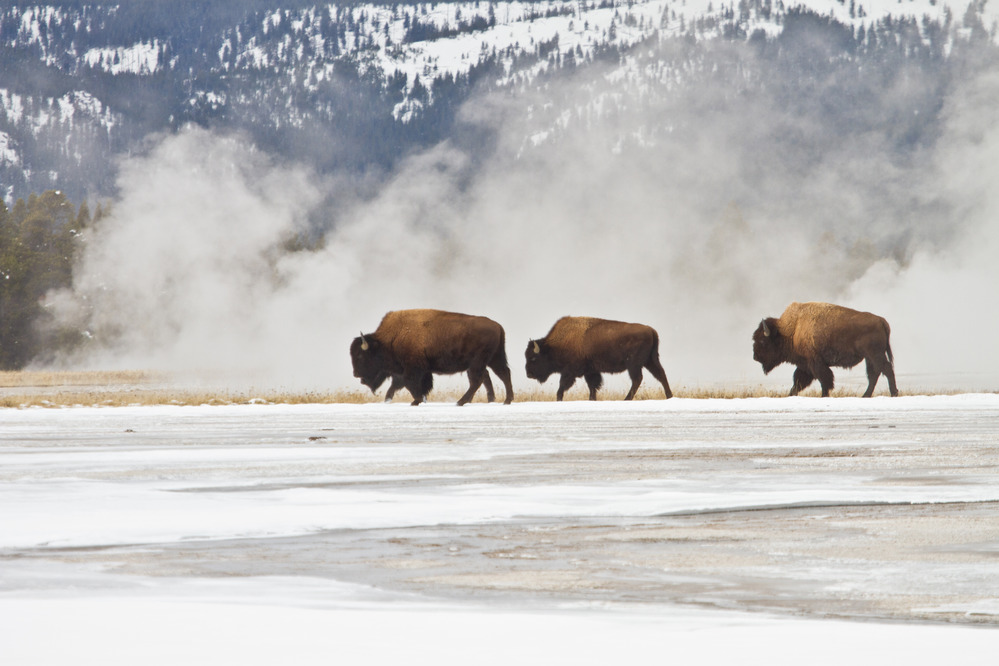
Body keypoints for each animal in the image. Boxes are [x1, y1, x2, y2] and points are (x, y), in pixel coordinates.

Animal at [350, 309, 514, 406]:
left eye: (360, 356)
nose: (356, 374)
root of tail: (498, 326)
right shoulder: (418, 371)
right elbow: (407, 385)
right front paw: (418, 400)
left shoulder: (412, 369)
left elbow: (409, 383)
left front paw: (416, 401)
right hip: (493, 359)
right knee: (502, 374)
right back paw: (506, 400)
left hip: (477, 362)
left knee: (478, 380)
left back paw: (460, 402)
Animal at [525, 316, 673, 401]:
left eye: (533, 358)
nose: (528, 374)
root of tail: (651, 331)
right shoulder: (590, 371)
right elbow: (593, 387)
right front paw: (592, 399)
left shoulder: (569, 372)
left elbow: (562, 386)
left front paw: (559, 398)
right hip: (650, 361)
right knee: (661, 375)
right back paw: (669, 396)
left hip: (634, 365)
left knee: (637, 379)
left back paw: (626, 399)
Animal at [752, 301, 898, 397]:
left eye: (762, 341)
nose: (755, 357)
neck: (791, 330)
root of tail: (881, 321)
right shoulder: (805, 365)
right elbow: (798, 382)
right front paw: (791, 394)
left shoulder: (815, 362)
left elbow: (824, 380)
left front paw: (824, 395)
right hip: (869, 357)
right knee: (874, 373)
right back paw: (865, 395)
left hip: (875, 354)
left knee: (886, 369)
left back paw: (894, 393)